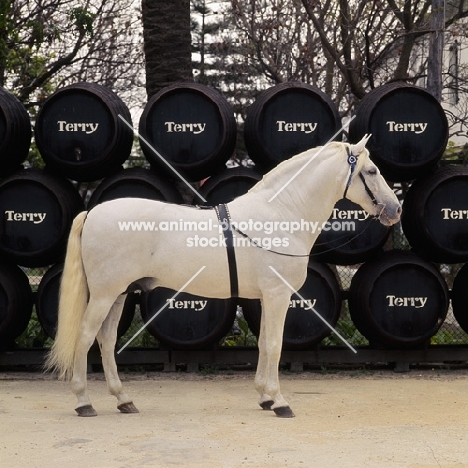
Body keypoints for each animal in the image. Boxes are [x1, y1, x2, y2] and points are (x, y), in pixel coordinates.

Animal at [45, 135, 400, 416]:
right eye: (371, 171)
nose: (395, 210)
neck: (280, 214)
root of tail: (93, 212)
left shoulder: (267, 298)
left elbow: (263, 344)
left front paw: (265, 398)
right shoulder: (278, 295)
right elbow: (275, 345)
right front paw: (280, 402)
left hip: (119, 293)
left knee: (105, 341)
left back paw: (124, 400)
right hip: (104, 294)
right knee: (85, 337)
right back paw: (83, 402)